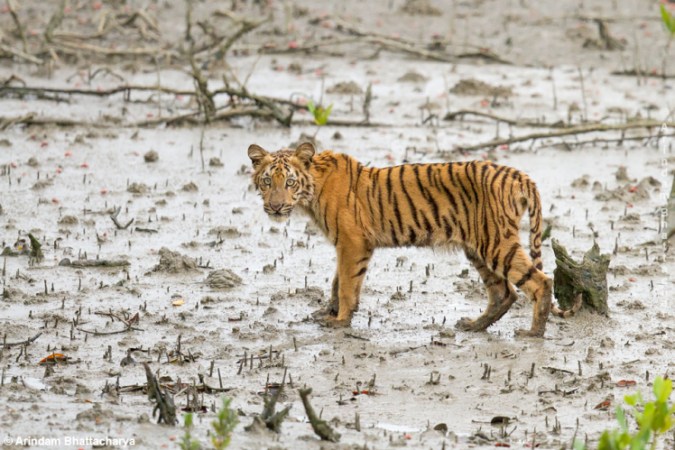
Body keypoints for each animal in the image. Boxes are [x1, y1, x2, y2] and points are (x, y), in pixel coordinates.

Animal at [247, 142, 580, 337]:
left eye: (289, 182)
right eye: (267, 181)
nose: (275, 207)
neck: (311, 190)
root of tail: (519, 175)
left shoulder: (352, 242)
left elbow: (347, 284)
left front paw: (340, 320)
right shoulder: (346, 244)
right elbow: (336, 281)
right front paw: (327, 312)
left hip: (496, 243)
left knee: (540, 281)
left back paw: (533, 333)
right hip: (477, 247)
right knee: (503, 292)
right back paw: (473, 325)